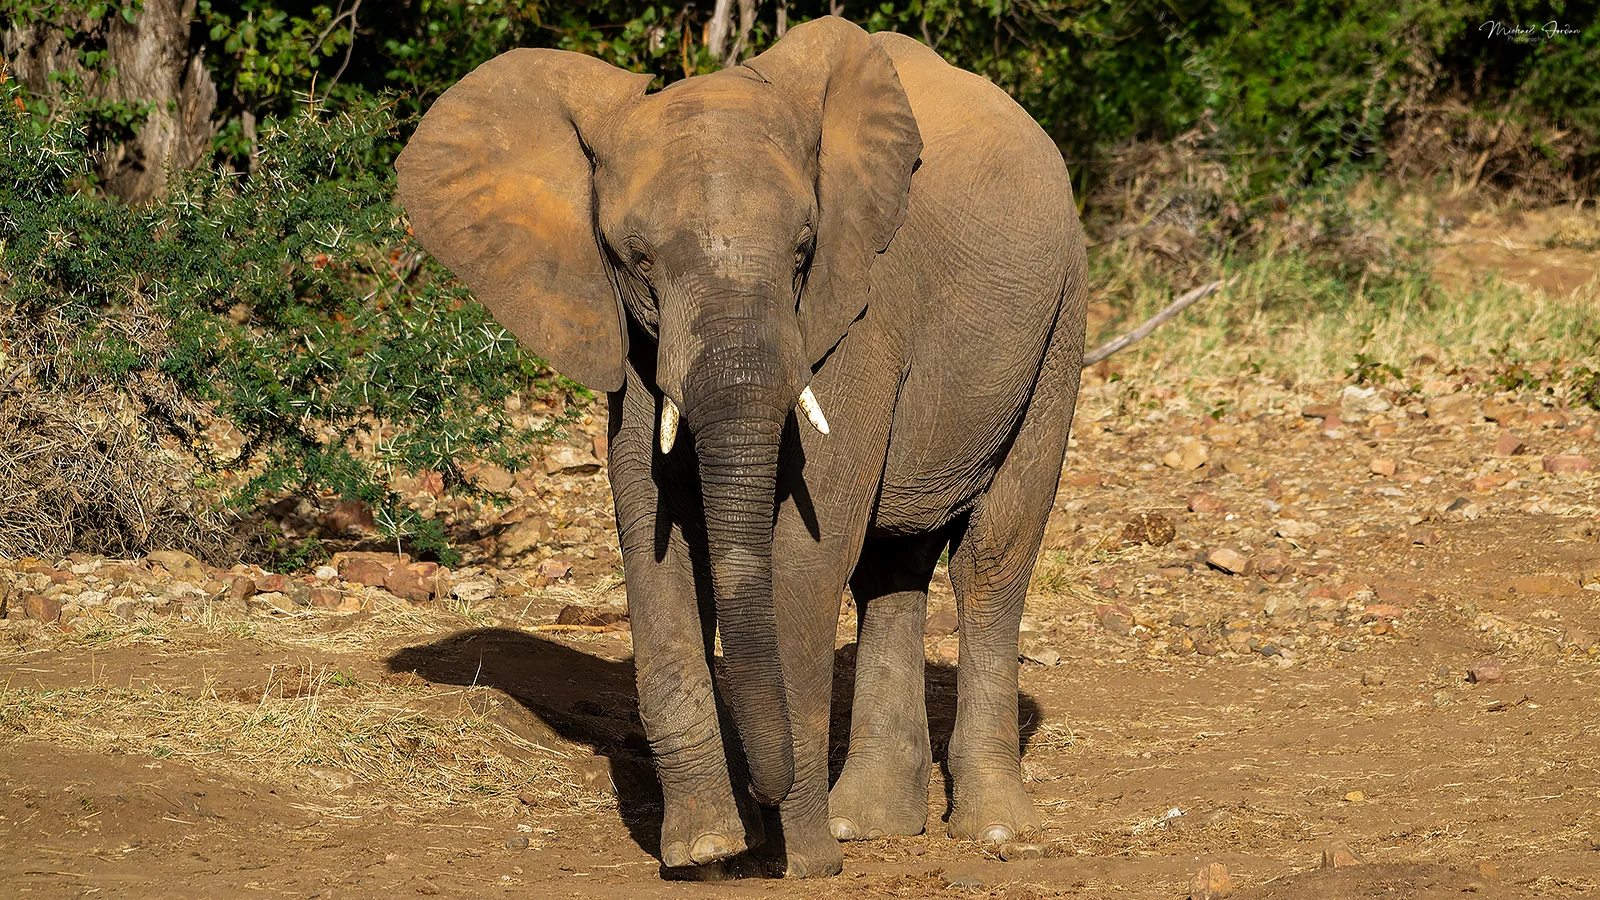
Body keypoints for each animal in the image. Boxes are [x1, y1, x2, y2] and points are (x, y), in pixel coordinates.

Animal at [396, 16, 1088, 878]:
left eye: (802, 251)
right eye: (637, 258)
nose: (766, 806)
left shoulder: (857, 311)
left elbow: (804, 554)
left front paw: (802, 861)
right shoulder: (633, 336)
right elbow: (652, 535)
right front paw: (709, 851)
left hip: (1062, 315)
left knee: (993, 553)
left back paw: (990, 831)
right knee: (892, 566)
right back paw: (870, 825)